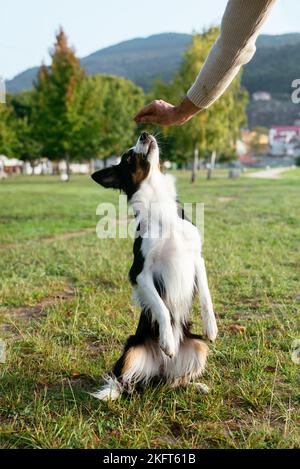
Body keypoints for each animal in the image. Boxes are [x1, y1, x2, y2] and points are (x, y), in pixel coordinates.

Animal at [90, 131, 217, 398]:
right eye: (129, 157)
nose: (144, 133)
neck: (161, 210)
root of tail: (159, 371)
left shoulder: (197, 259)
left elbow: (206, 296)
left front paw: (211, 327)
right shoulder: (139, 273)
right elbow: (161, 307)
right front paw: (167, 341)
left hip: (198, 347)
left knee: (175, 380)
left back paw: (195, 384)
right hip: (132, 349)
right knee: (124, 380)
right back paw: (112, 393)